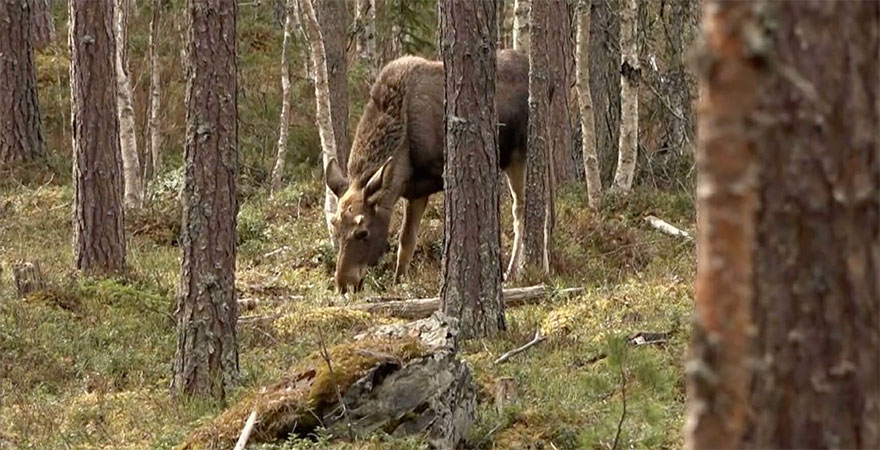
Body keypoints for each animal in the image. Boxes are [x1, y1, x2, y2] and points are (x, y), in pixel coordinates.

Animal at [324, 50, 524, 296]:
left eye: (363, 232)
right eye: (335, 227)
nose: (344, 285)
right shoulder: (414, 191)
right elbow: (406, 242)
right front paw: (399, 282)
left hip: (519, 155)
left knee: (522, 209)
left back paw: (515, 271)